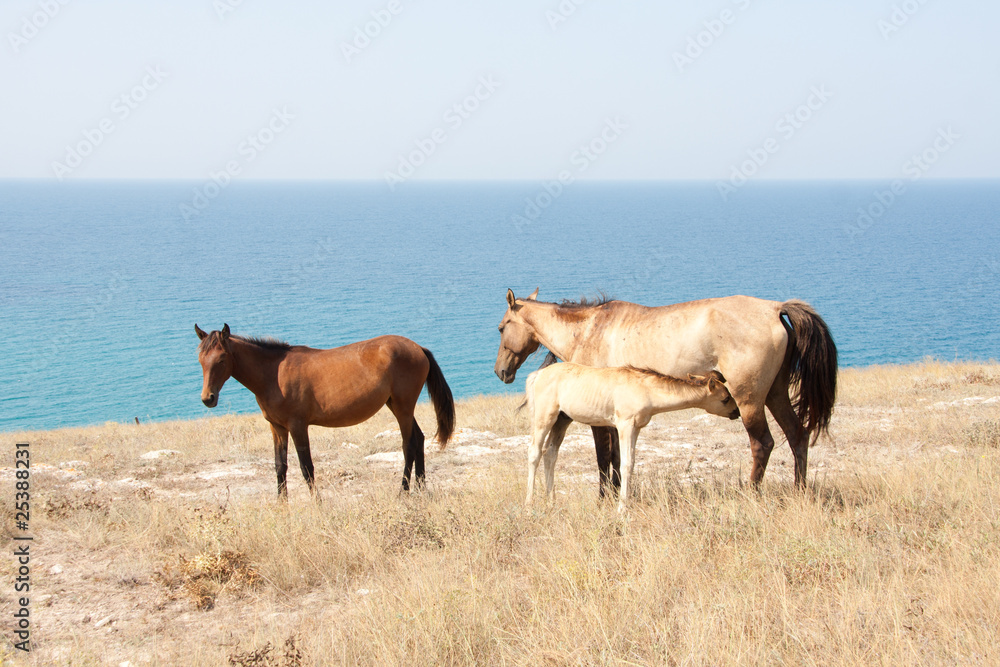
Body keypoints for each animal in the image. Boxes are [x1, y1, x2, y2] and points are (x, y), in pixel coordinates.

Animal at [195, 324, 455, 497]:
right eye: (200, 360)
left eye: (221, 359)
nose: (208, 398)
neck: (273, 374)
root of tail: (418, 348)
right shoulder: (277, 427)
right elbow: (280, 466)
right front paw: (282, 504)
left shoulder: (298, 426)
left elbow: (306, 467)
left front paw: (316, 503)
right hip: (397, 406)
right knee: (419, 439)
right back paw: (420, 489)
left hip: (403, 407)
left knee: (408, 445)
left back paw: (403, 492)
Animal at [494, 289, 837, 494]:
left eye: (501, 328)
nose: (501, 371)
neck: (590, 330)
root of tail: (775, 309)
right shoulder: (618, 417)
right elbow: (617, 458)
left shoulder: (599, 419)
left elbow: (603, 458)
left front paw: (605, 498)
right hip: (775, 395)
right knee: (797, 436)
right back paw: (800, 491)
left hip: (749, 401)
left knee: (762, 444)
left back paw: (749, 493)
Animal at [524, 363, 739, 511]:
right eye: (725, 398)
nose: (736, 412)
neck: (645, 389)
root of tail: (539, 374)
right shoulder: (625, 425)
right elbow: (625, 464)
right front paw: (622, 509)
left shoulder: (636, 428)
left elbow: (632, 463)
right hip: (544, 418)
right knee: (534, 453)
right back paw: (529, 504)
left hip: (562, 420)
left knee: (550, 453)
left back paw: (551, 501)